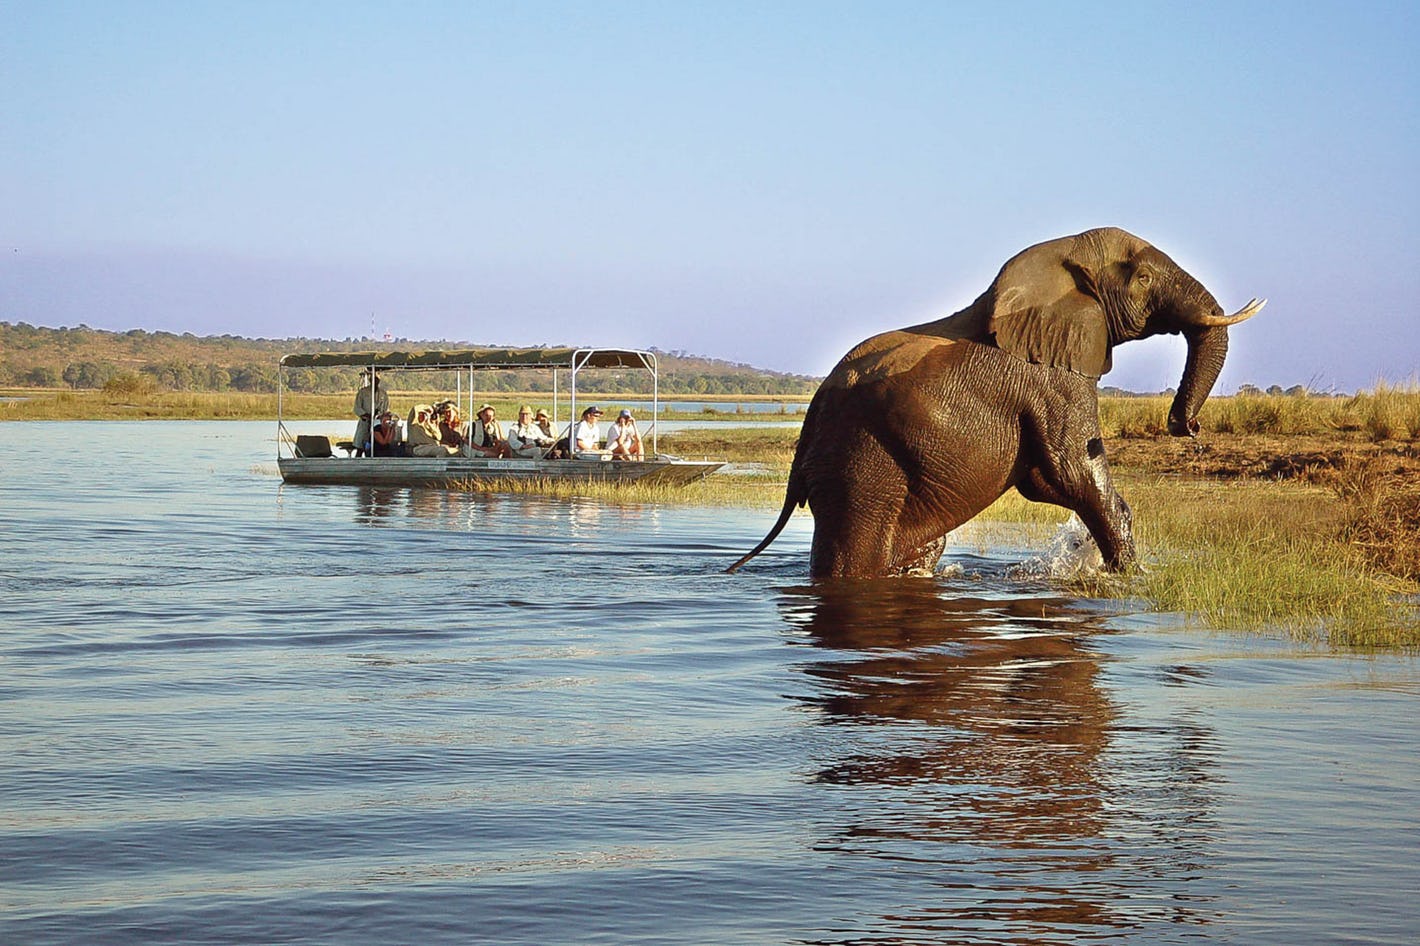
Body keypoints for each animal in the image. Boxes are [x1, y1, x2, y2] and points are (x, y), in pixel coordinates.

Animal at [732, 228, 1266, 582]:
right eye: (1145, 277)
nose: (1186, 425)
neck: (1059, 258)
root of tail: (808, 426)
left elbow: (1045, 480)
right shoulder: (1052, 378)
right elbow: (1072, 471)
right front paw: (1128, 579)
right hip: (860, 467)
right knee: (857, 553)